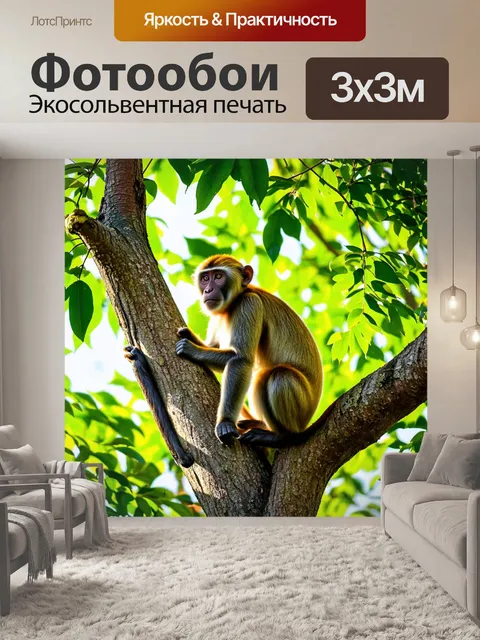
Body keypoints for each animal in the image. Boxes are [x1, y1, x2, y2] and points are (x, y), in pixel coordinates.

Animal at [175, 254, 324, 448]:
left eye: (218, 276)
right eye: (205, 278)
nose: (208, 290)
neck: (234, 302)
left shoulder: (249, 304)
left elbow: (241, 359)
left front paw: (225, 422)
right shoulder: (217, 316)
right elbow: (216, 348)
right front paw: (190, 335)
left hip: (302, 410)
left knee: (278, 375)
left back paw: (283, 436)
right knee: (260, 378)